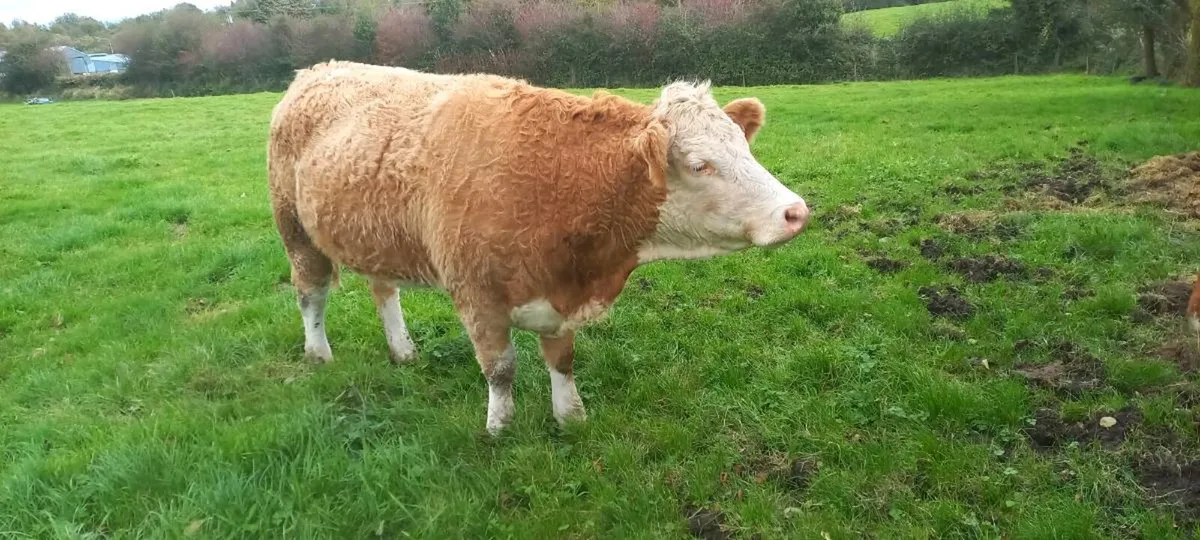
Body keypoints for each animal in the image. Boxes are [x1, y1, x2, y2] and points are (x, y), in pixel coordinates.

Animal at [267, 61, 810, 435]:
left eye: (744, 146)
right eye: (700, 165)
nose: (795, 211)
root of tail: (316, 71)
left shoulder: (560, 295)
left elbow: (563, 360)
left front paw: (571, 417)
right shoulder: (476, 294)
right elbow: (500, 368)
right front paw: (499, 428)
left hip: (375, 236)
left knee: (384, 291)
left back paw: (402, 350)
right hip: (294, 229)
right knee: (311, 293)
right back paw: (318, 353)